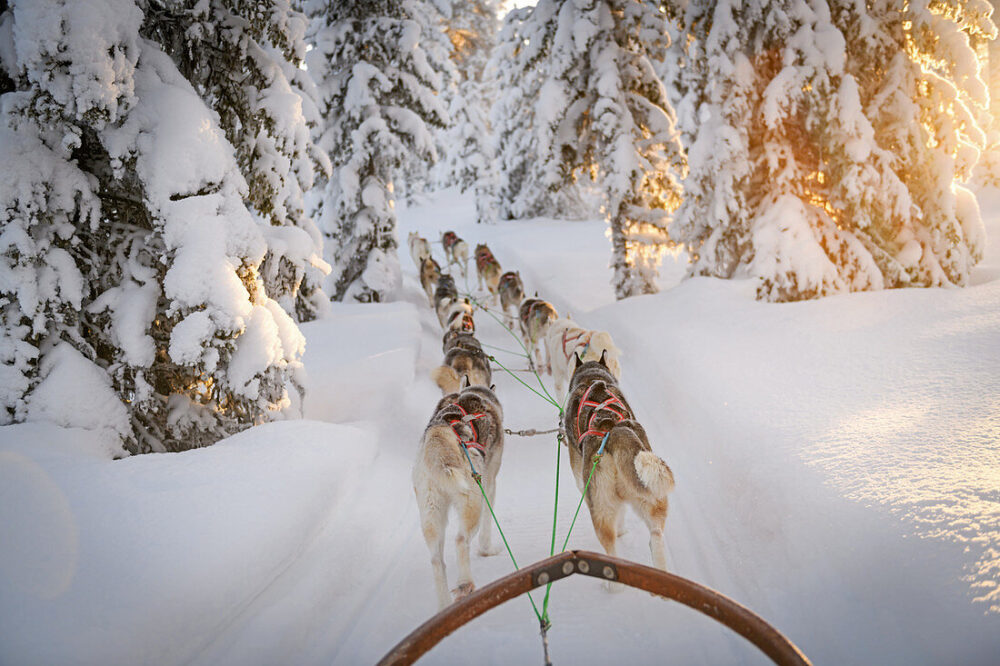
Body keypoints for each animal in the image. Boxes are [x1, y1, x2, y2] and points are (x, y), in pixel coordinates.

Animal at [416, 378, 508, 608]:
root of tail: (441, 430)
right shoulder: (489, 486)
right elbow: (486, 529)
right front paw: (488, 551)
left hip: (431, 513)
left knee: (436, 560)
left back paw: (445, 605)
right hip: (472, 502)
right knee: (460, 540)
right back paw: (465, 584)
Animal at [564, 352, 672, 572]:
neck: (591, 376)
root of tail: (612, 429)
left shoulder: (579, 473)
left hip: (601, 509)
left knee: (610, 546)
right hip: (651, 493)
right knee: (656, 535)